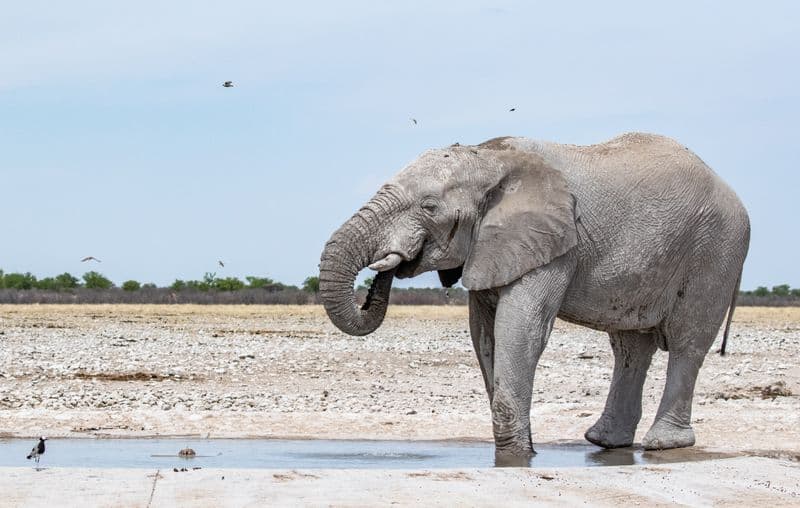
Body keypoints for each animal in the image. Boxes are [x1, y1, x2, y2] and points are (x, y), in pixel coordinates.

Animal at [318, 133, 752, 458]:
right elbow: (484, 334)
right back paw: (605, 441)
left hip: (716, 250)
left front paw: (516, 454)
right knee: (630, 347)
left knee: (686, 342)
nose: (385, 271)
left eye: (429, 207)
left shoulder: (556, 243)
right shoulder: (494, 246)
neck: (489, 157)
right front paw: (517, 447)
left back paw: (664, 444)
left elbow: (520, 328)